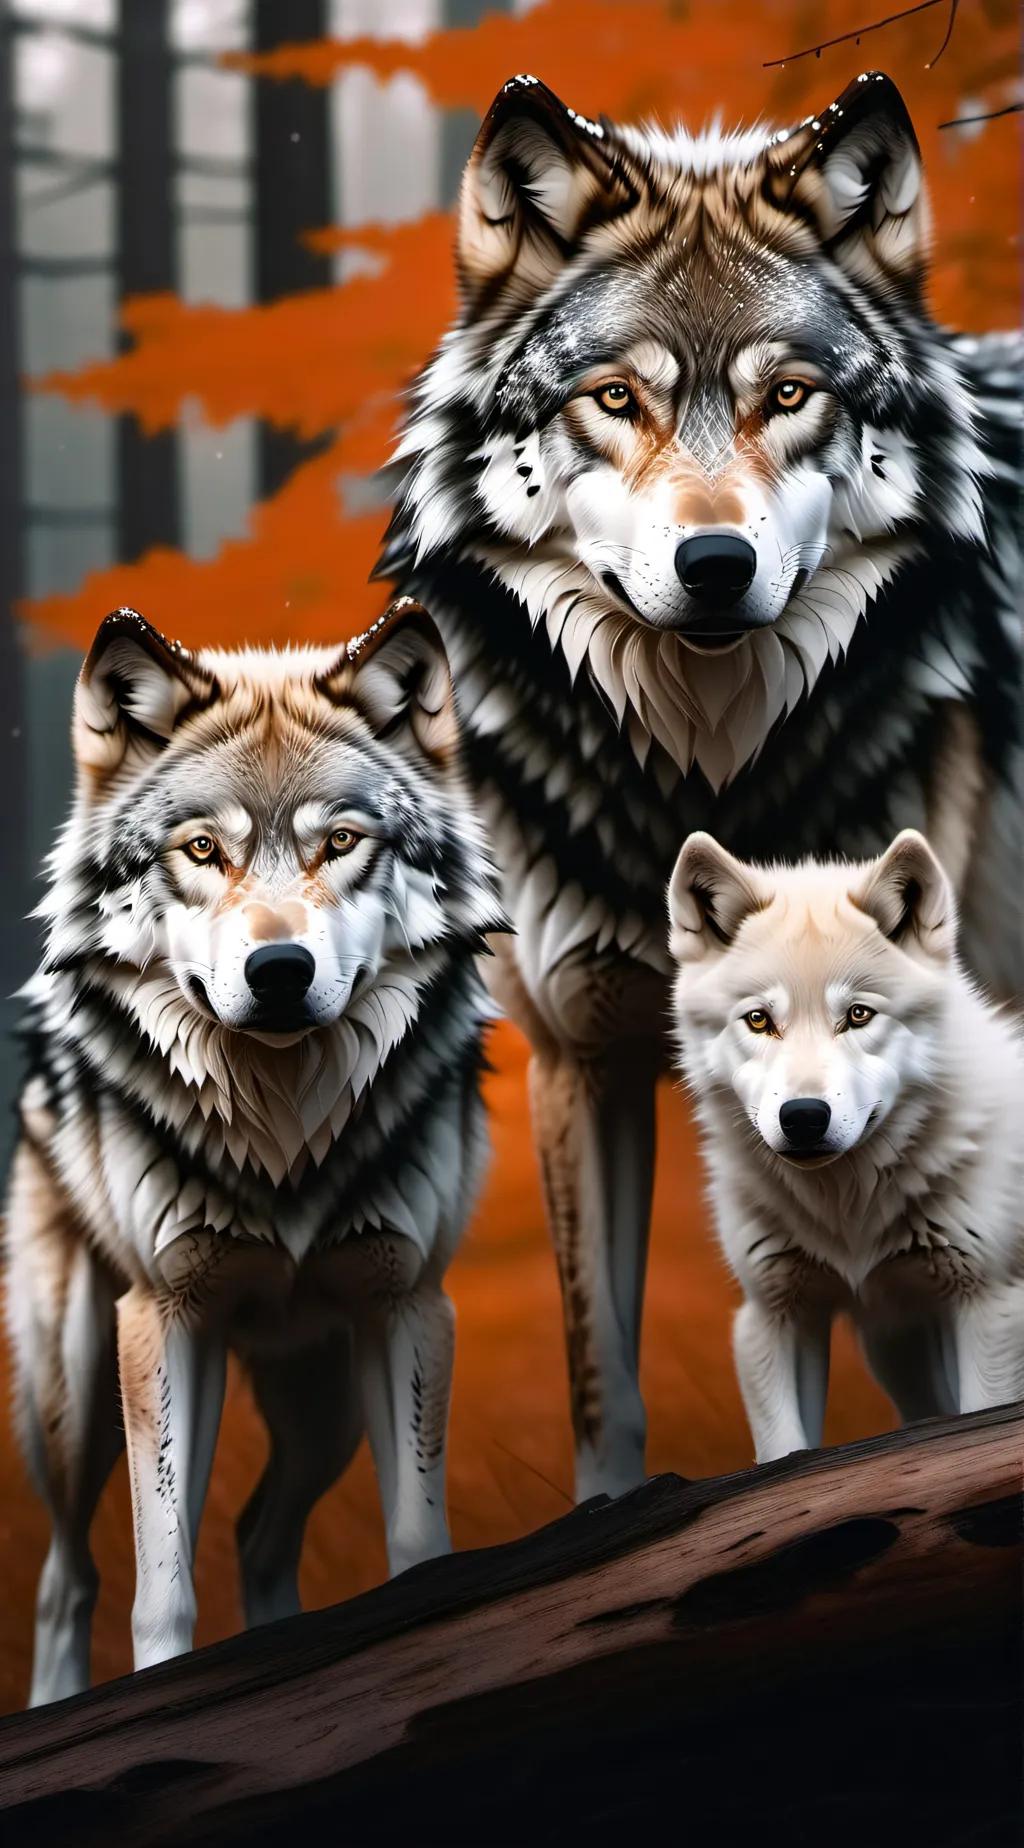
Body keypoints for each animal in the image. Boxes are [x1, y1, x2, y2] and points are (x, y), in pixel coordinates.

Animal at [5, 599, 502, 1705]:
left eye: (343, 842)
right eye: (201, 849)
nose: (281, 970)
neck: (283, 1139)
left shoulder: (408, 1306)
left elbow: (417, 1540)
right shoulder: (166, 1317)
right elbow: (161, 1586)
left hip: (322, 1406)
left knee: (257, 1534)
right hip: (74, 1399)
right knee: (68, 1571)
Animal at [668, 827, 1024, 1462]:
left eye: (858, 1015)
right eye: (758, 1020)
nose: (805, 1117)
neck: (848, 1212)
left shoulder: (990, 1303)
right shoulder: (772, 1315)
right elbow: (784, 1455)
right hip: (901, 1352)